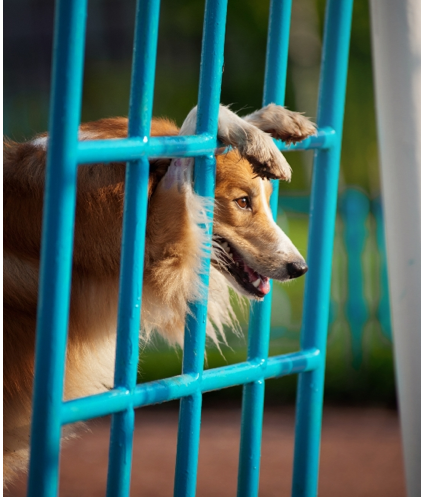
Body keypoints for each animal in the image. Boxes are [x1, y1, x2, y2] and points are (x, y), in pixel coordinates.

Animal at [3, 103, 316, 484]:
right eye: (243, 202)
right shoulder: (160, 253)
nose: (300, 268)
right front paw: (252, 136)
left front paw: (276, 123)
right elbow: (191, 128)